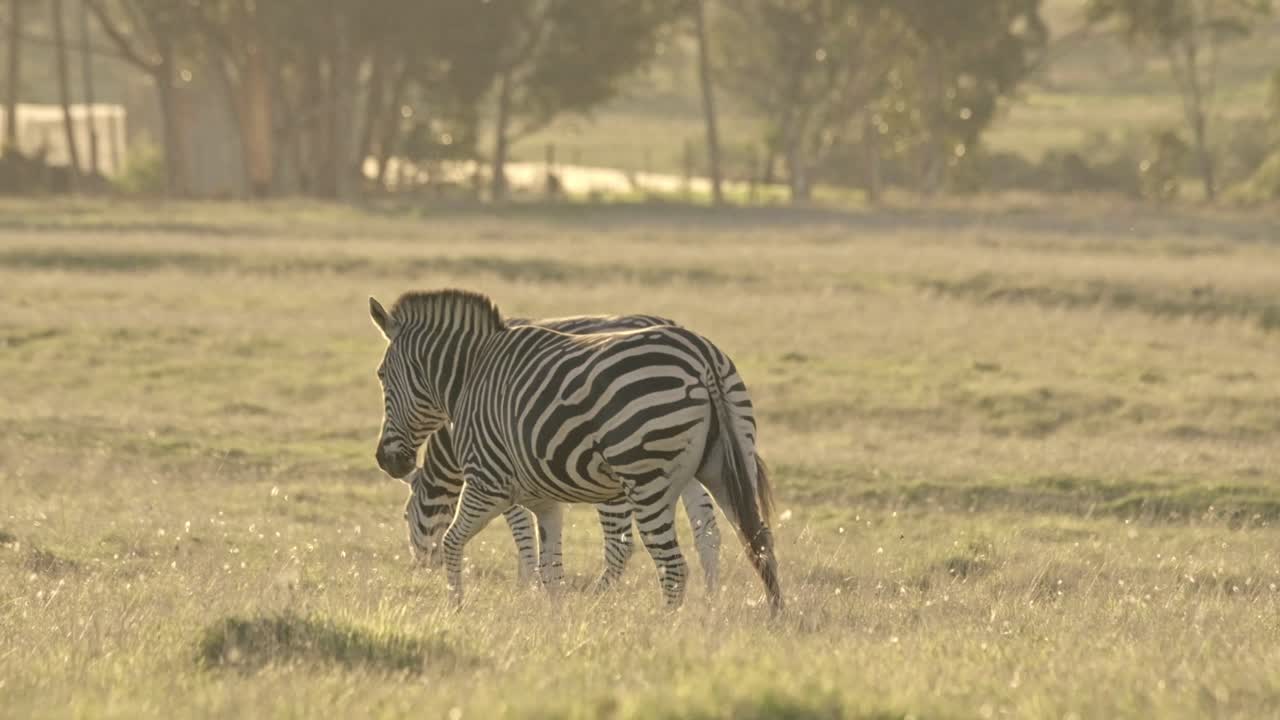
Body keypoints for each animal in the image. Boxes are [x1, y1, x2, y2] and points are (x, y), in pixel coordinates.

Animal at [370, 289, 782, 613]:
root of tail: (701, 356)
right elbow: (550, 569)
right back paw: (758, 612)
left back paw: (656, 624)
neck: (470, 378)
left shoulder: (491, 483)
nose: (386, 460)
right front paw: (553, 619)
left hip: (642, 478)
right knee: (750, 539)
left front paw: (459, 605)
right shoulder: (542, 497)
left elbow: (464, 540)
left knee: (666, 563)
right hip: (723, 464)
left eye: (381, 375)